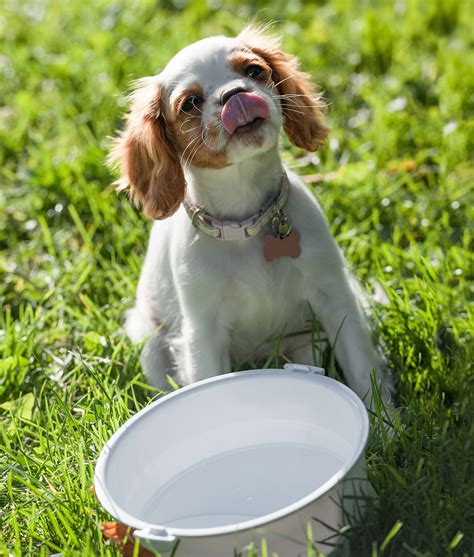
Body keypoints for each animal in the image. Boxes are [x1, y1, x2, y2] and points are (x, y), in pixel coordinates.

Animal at [110, 25, 392, 404]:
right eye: (191, 103)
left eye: (254, 71)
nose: (235, 94)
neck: (247, 220)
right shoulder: (203, 331)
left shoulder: (335, 295)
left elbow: (362, 367)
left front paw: (386, 418)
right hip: (151, 344)